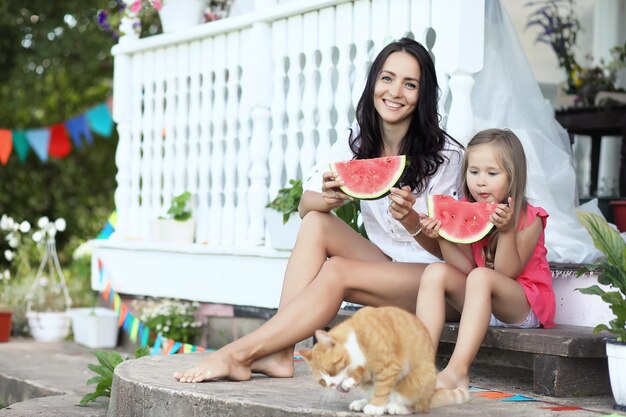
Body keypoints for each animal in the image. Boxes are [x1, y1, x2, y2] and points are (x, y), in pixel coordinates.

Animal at [298, 306, 468, 412]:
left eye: (330, 371)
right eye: (322, 381)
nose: (331, 385)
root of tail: (431, 396)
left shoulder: (389, 366)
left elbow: (382, 389)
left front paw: (376, 407)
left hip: (418, 381)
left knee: (416, 406)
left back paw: (396, 407)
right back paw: (362, 402)